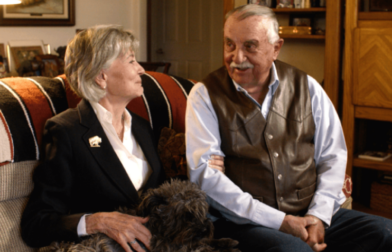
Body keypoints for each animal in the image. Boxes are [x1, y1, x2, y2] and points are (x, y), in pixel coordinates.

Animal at [49, 180, 239, 251]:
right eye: (185, 214)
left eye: (201, 210)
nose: (205, 229)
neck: (161, 227)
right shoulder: (172, 247)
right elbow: (201, 245)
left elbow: (205, 241)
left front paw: (225, 241)